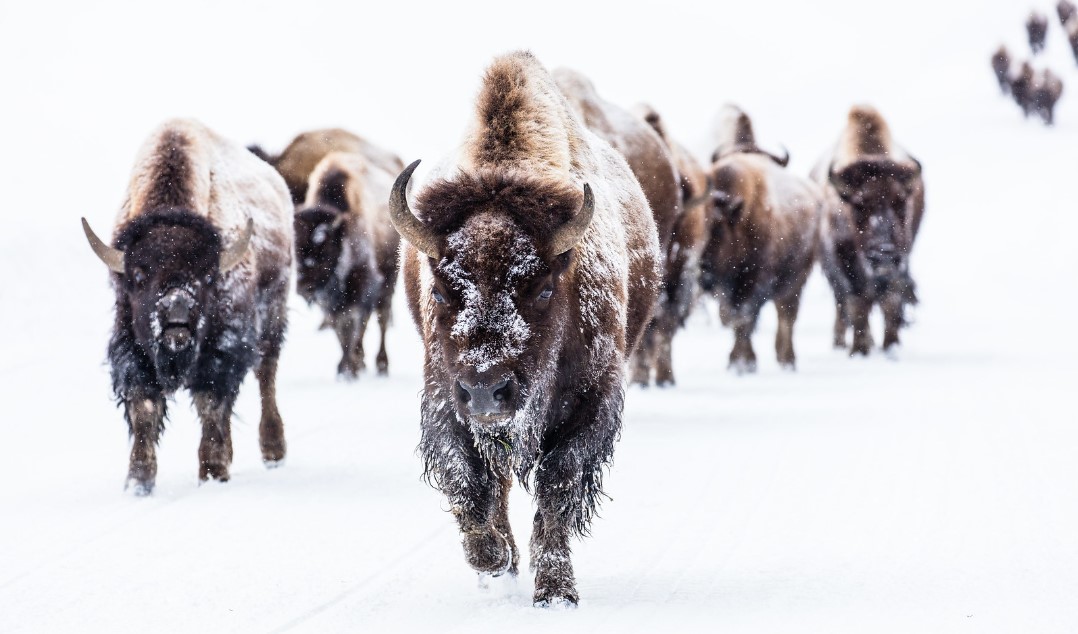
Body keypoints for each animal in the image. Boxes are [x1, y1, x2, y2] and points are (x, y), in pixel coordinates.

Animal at [82, 119, 293, 493]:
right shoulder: (131, 348)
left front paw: (212, 472)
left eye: (208, 276)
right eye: (138, 276)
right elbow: (144, 408)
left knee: (266, 375)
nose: (176, 316)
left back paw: (273, 452)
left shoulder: (222, 350)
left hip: (273, 316)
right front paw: (138, 482)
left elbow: (211, 404)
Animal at [393, 51, 660, 606]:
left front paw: (556, 592)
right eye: (441, 289)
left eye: (540, 287)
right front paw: (495, 563)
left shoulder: (592, 403)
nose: (486, 391)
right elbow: (468, 481)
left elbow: (558, 486)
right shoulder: (445, 401)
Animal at [813, 105, 925, 355]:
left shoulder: (900, 262)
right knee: (842, 304)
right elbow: (857, 305)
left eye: (900, 202)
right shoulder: (845, 266)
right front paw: (860, 349)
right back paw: (841, 342)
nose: (884, 253)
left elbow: (891, 302)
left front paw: (891, 346)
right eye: (859, 204)